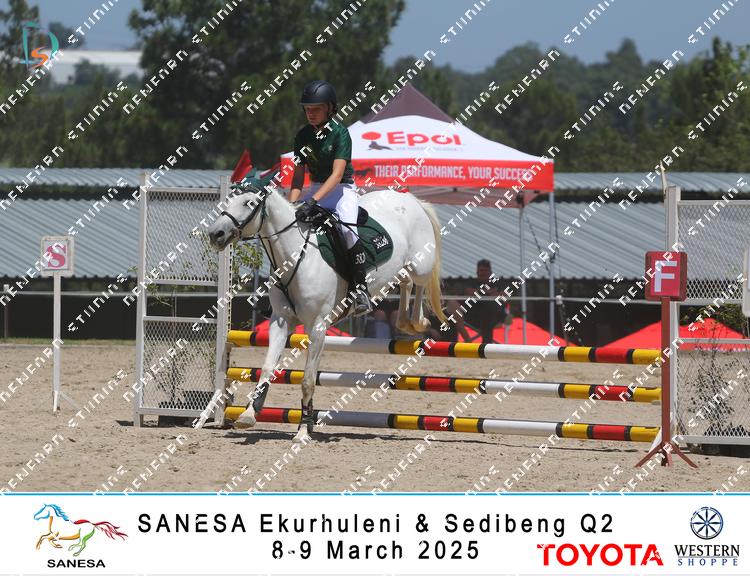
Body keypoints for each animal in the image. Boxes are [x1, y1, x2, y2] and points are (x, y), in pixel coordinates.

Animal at [207, 176, 446, 442]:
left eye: (248, 203)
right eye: (229, 200)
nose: (216, 234)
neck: (295, 256)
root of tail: (411, 199)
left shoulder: (318, 326)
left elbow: (308, 380)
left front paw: (303, 431)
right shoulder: (280, 321)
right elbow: (268, 368)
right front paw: (249, 414)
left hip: (420, 263)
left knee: (419, 282)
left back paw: (417, 322)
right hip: (401, 269)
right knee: (405, 282)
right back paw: (405, 322)